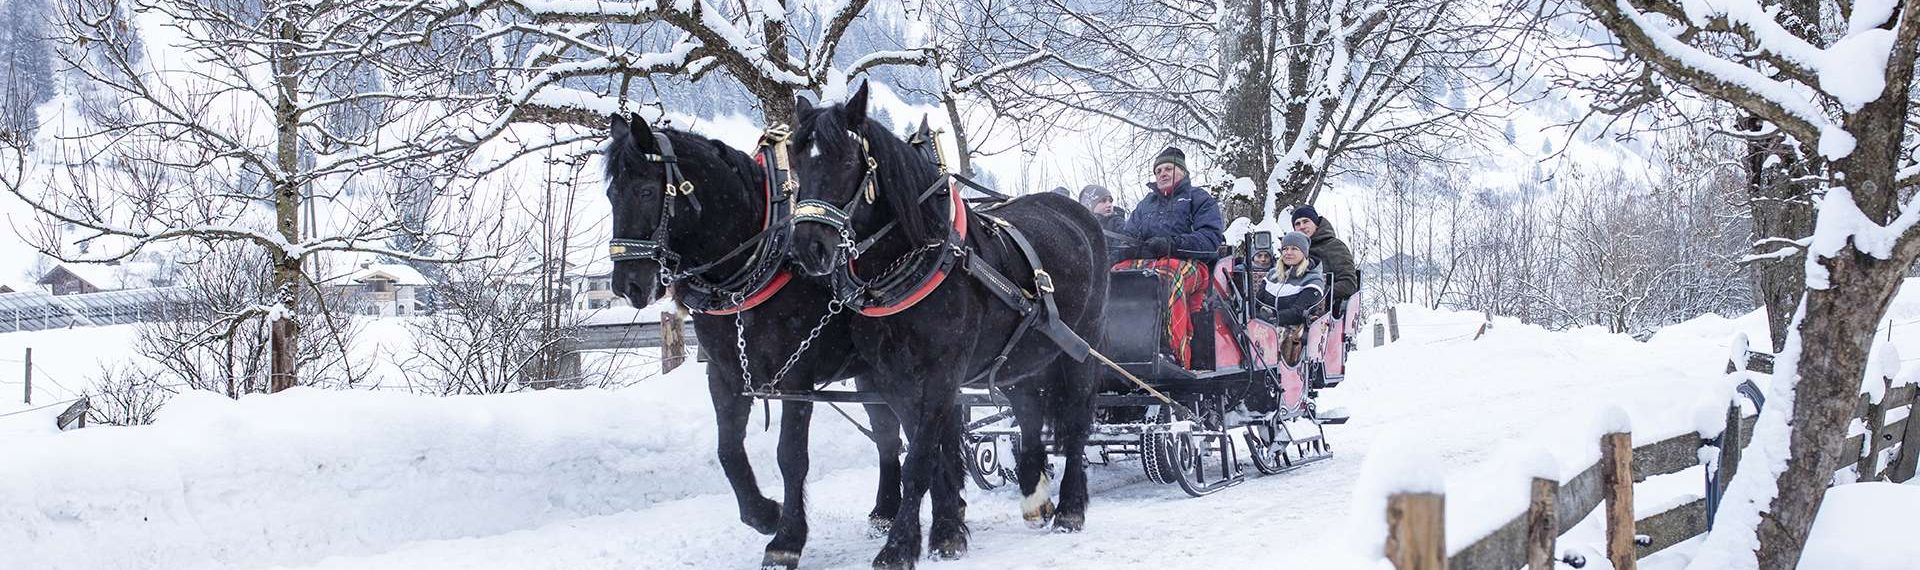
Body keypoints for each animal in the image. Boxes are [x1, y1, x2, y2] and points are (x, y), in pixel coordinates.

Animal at [602, 113, 902, 564]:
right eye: (610, 194)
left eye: (645, 190)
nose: (626, 286)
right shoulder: (725, 375)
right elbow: (728, 450)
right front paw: (764, 514)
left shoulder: (796, 378)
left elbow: (790, 455)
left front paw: (787, 540)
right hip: (870, 372)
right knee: (888, 434)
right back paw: (886, 511)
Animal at [783, 85, 1113, 568]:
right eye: (793, 160)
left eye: (845, 161)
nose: (809, 247)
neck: (920, 257)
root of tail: (1080, 214)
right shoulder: (894, 380)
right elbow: (932, 455)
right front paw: (946, 531)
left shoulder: (942, 373)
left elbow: (919, 459)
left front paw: (900, 545)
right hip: (1021, 356)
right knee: (1029, 411)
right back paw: (1035, 497)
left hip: (1082, 344)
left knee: (1076, 420)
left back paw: (1070, 506)